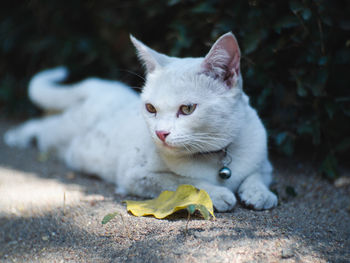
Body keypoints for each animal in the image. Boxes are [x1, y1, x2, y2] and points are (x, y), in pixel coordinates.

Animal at [2, 32, 276, 212]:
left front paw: (260, 194)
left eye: (187, 109)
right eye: (151, 108)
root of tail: (99, 86)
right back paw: (15, 137)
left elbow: (257, 175)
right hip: (61, 134)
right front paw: (219, 194)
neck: (216, 157)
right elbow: (184, 181)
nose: (161, 133)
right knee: (42, 126)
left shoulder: (264, 164)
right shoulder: (136, 175)